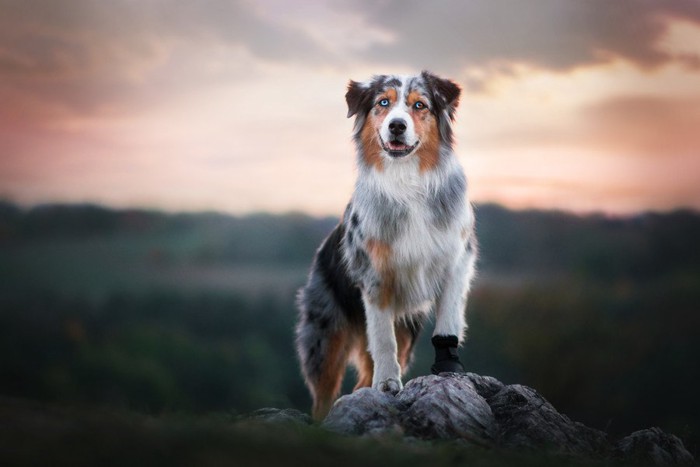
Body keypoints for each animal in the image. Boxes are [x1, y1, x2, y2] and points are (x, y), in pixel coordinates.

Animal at [296, 70, 476, 420]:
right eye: (383, 103)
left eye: (420, 105)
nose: (396, 125)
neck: (408, 182)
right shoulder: (374, 275)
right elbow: (382, 339)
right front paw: (388, 383)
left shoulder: (456, 262)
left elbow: (447, 324)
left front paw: (450, 368)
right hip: (326, 335)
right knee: (323, 394)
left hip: (405, 329)